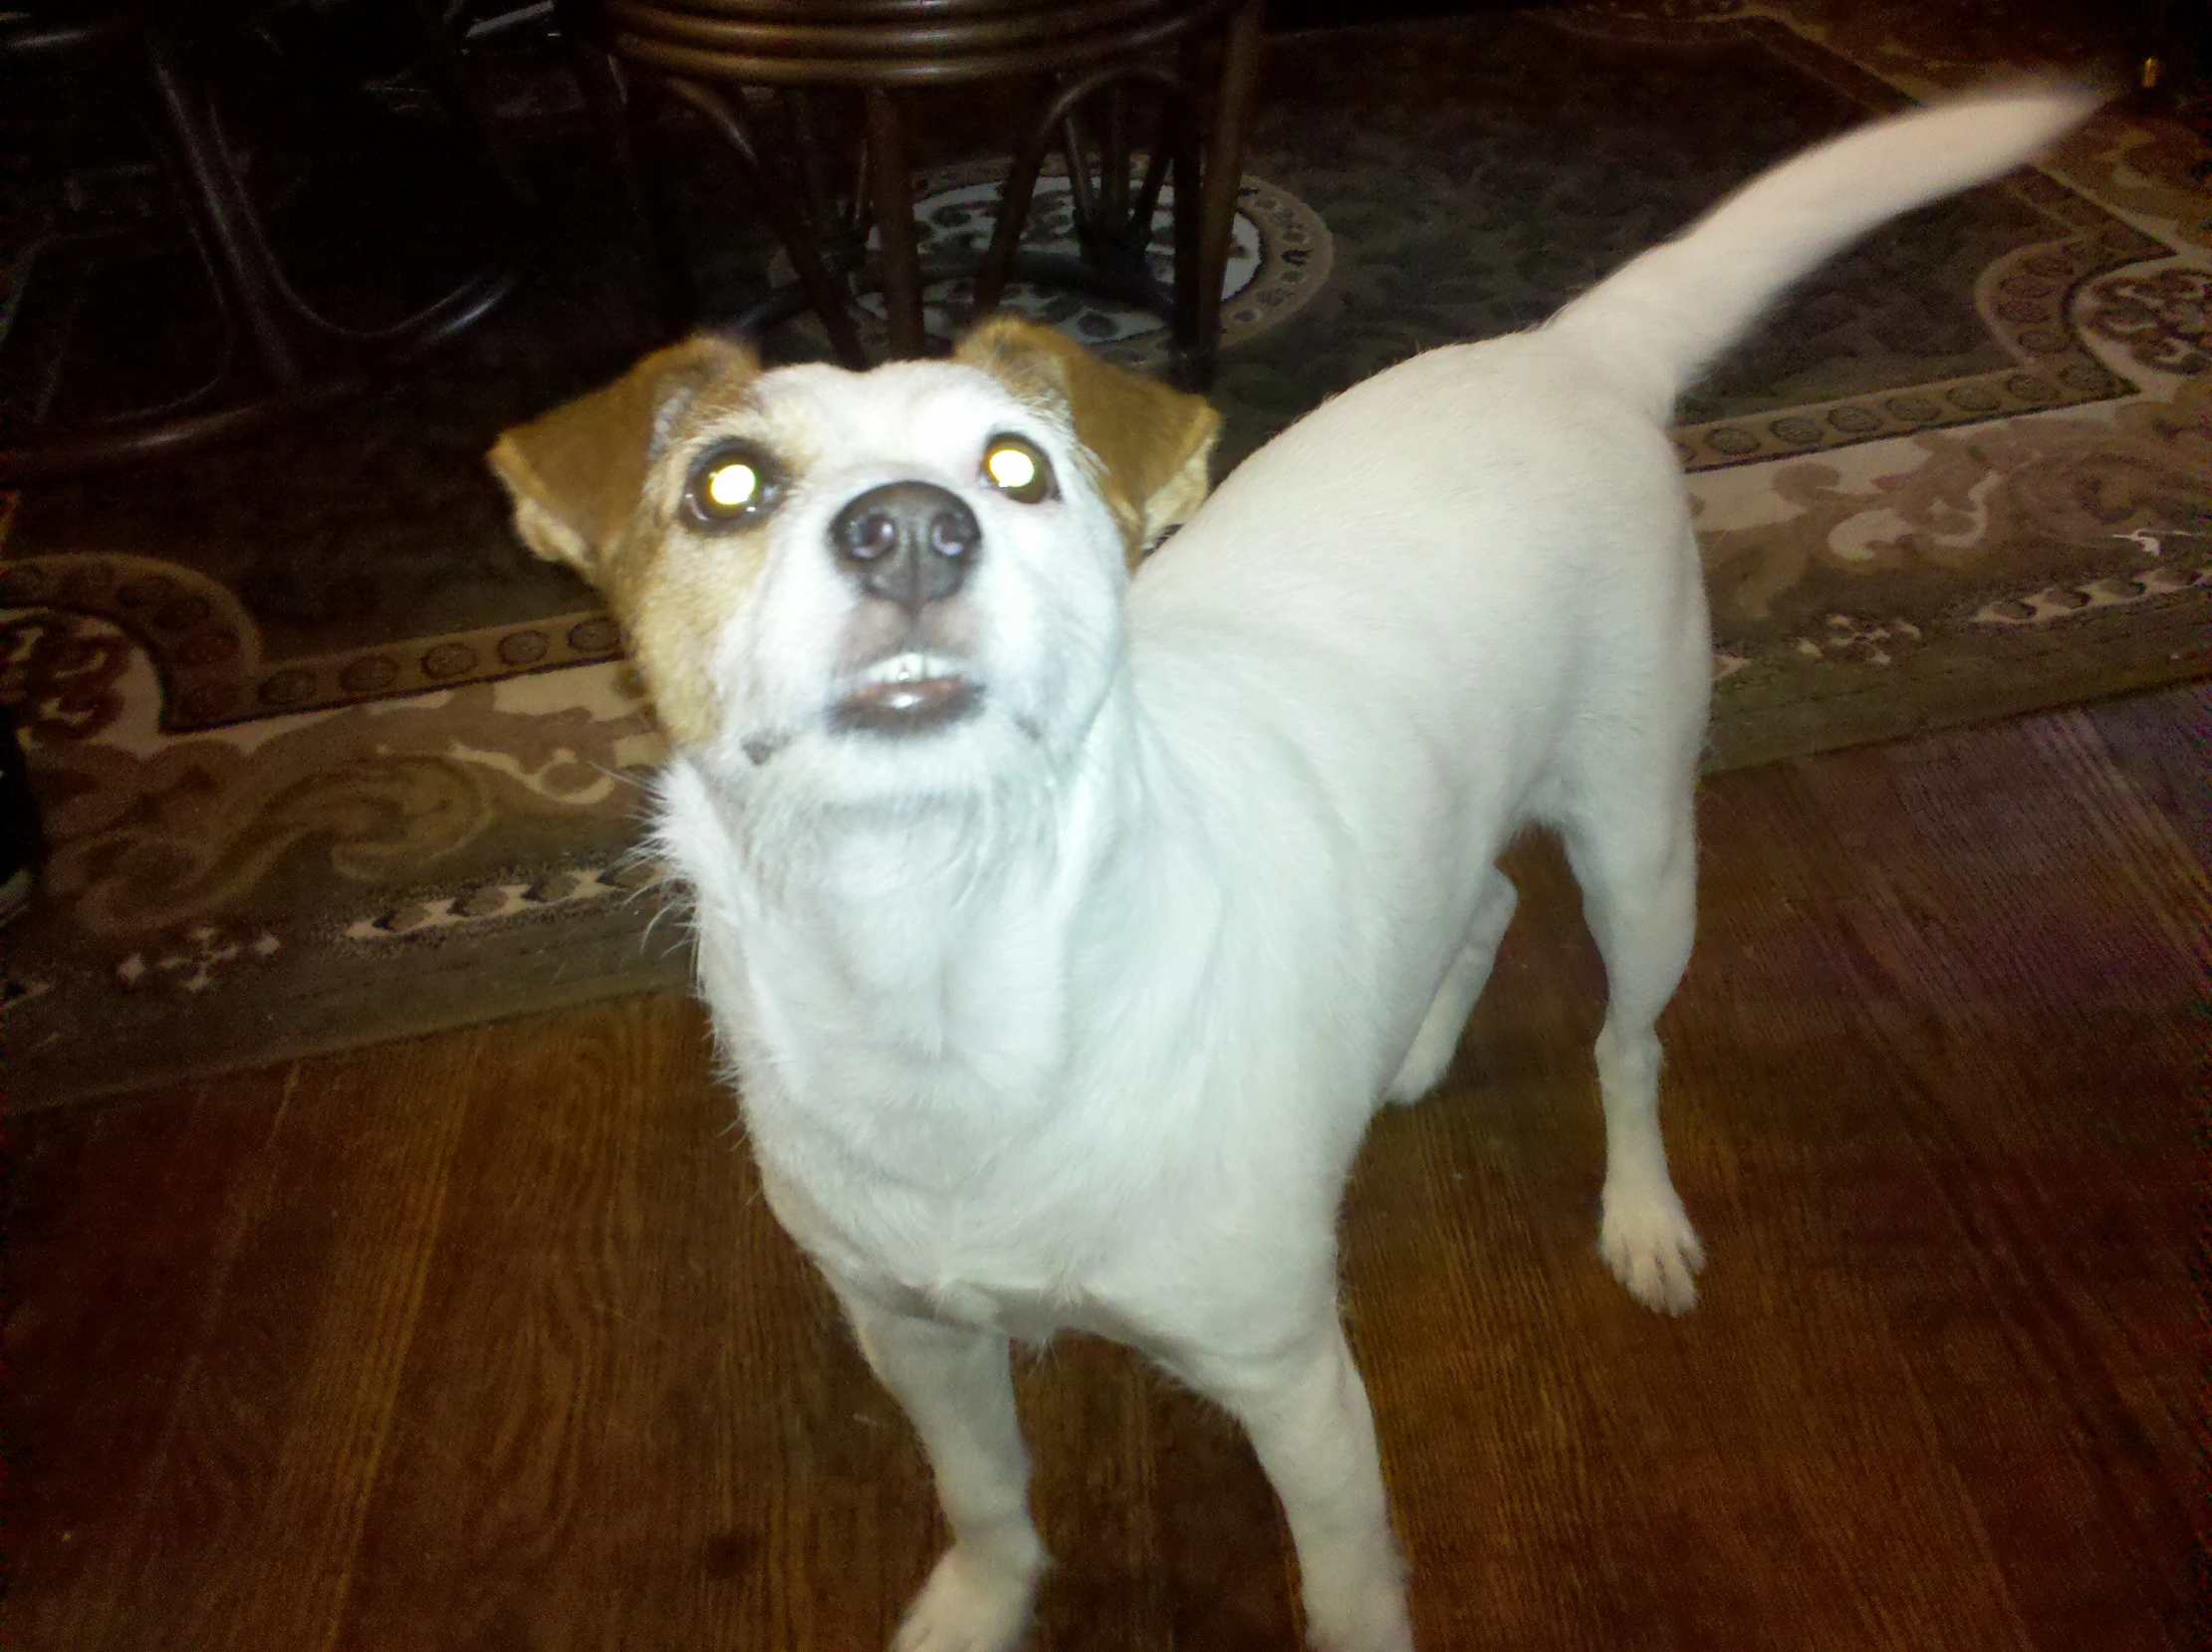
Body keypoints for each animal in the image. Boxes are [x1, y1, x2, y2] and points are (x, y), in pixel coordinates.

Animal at [493, 91, 2096, 1652]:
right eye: (726, 484)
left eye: (1016, 469)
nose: (908, 531)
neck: (938, 959)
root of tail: (1565, 351)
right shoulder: (913, 1336)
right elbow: (987, 1495)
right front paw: (979, 1605)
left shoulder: (1294, 1382)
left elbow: (1345, 1583)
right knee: (1487, 898)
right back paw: (1411, 1049)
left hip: (1641, 847)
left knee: (1627, 1042)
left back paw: (1640, 1215)